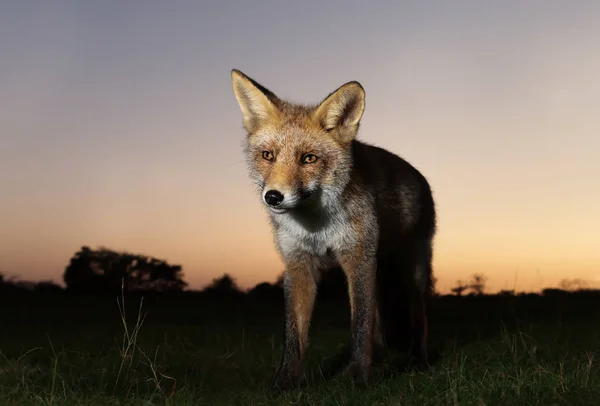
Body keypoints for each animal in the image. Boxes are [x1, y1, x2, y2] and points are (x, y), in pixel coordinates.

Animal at [230, 70, 436, 390]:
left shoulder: (357, 258)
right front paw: (285, 382)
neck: (316, 227)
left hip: (411, 271)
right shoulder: (298, 264)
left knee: (419, 314)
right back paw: (380, 357)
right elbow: (294, 335)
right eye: (267, 155)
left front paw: (356, 376)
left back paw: (419, 361)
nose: (273, 197)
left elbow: (359, 326)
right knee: (378, 313)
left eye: (309, 159)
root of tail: (419, 175)